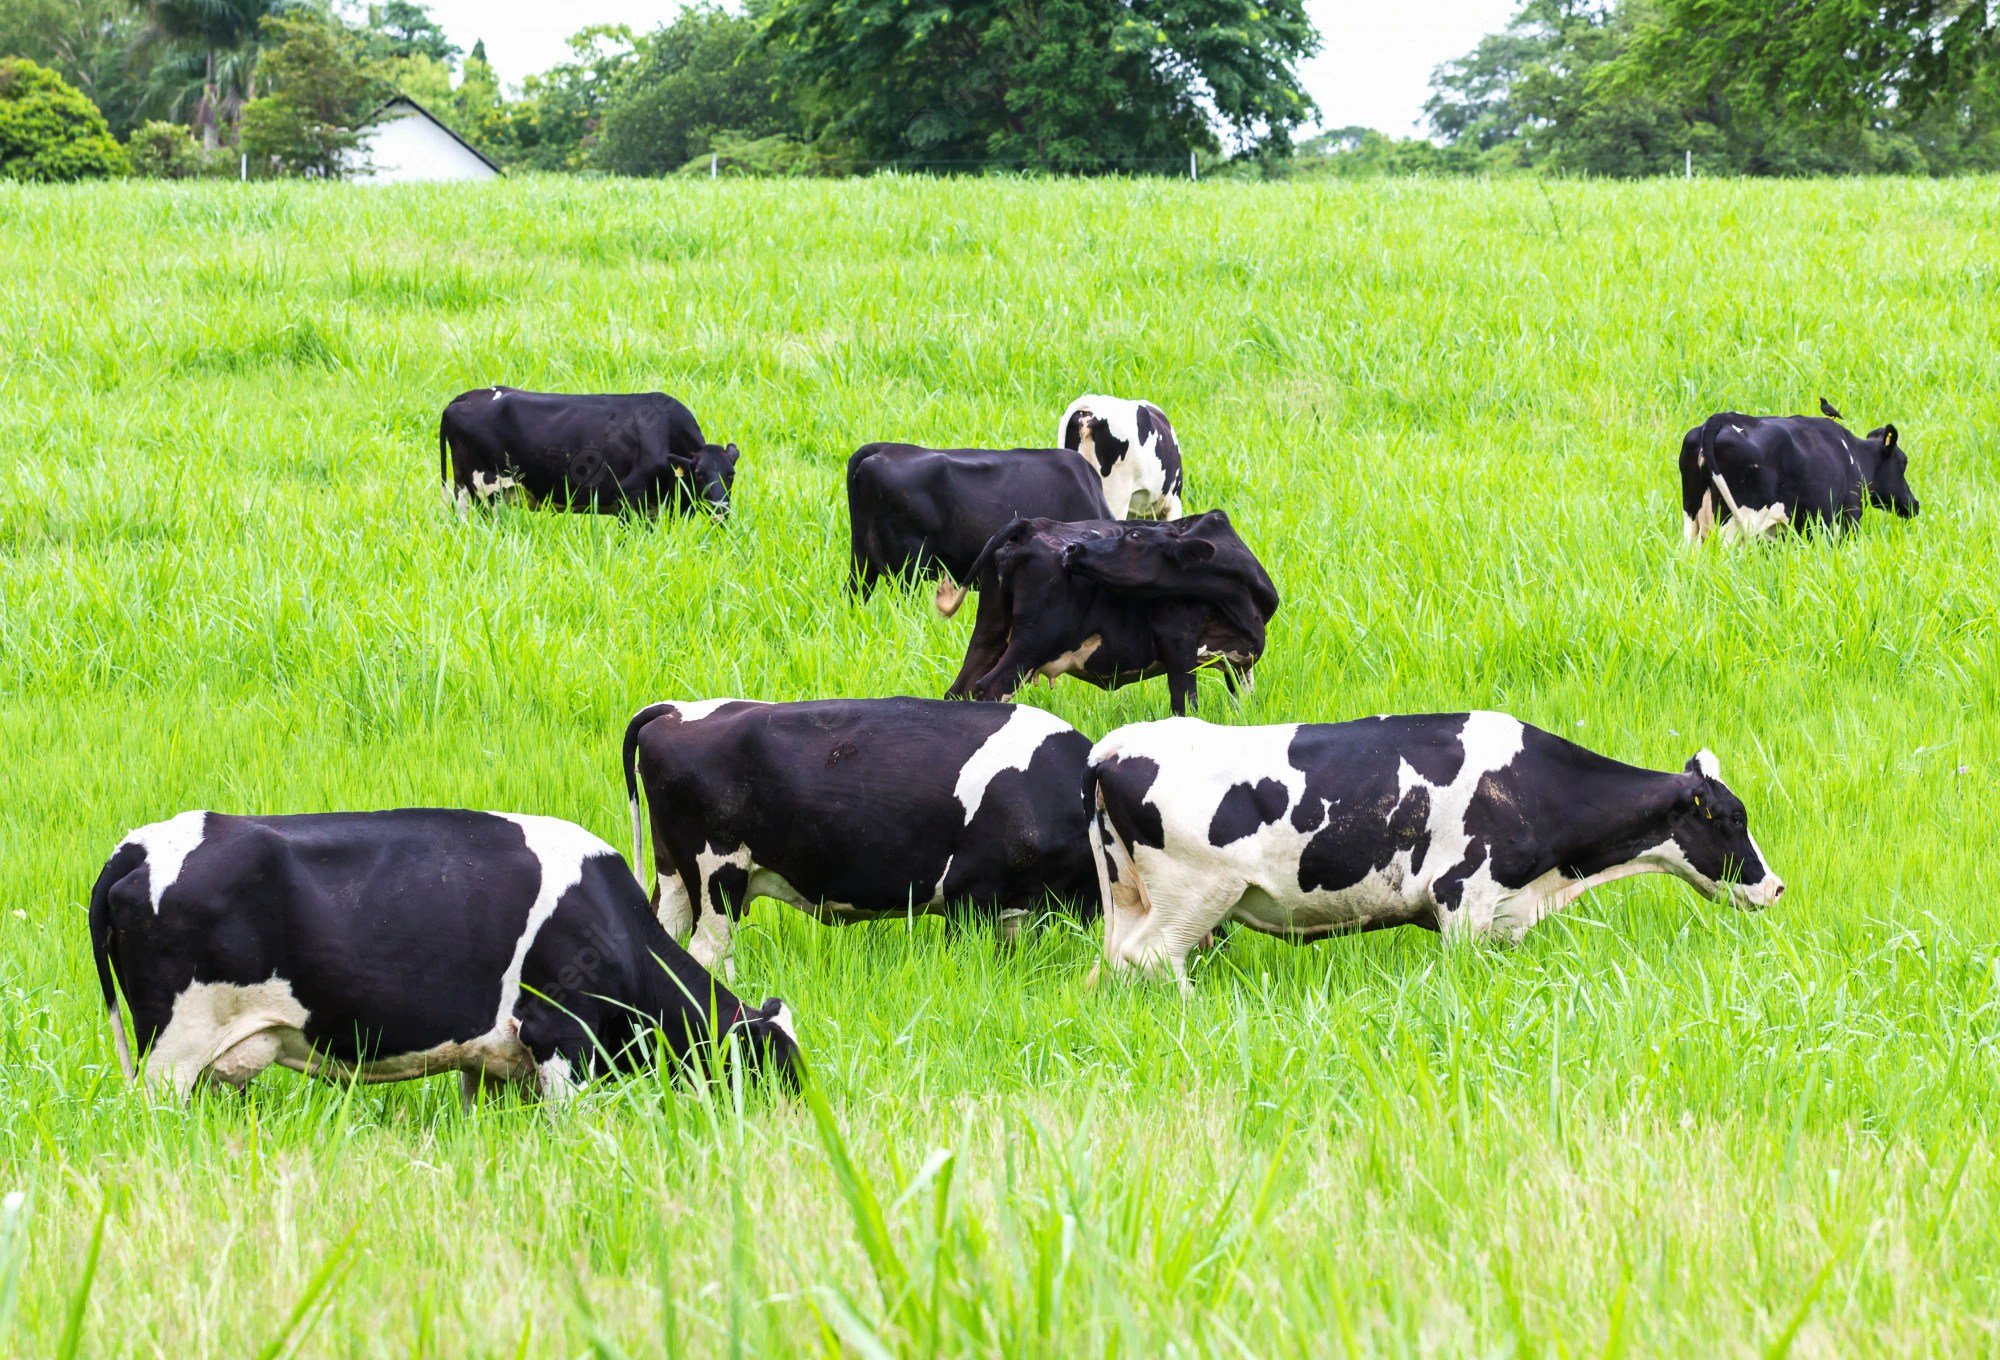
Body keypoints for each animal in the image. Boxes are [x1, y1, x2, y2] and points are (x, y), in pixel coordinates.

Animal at [440, 387, 740, 518]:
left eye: (731, 474)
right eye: (699, 474)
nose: (721, 509)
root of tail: (466, 397)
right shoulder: (629, 499)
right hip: (483, 491)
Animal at [622, 697, 1097, 973]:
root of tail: (675, 709)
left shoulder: (1020, 907)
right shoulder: (969, 894)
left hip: (675, 875)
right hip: (717, 876)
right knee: (708, 952)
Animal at [937, 511, 1279, 716]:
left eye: (1135, 537)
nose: (1073, 549)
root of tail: (1031, 525)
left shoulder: (1238, 664)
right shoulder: (1178, 640)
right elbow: (1184, 704)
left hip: (990, 634)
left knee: (958, 691)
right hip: (1033, 641)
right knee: (988, 688)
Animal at [1086, 713, 1783, 990]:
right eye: (1733, 817)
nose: (1775, 886)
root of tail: (1112, 746)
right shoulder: (1462, 901)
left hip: (1132, 894)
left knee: (1117, 962)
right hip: (1194, 895)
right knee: (1154, 958)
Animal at [1680, 398, 1920, 544]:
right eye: (1903, 462)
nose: (1915, 504)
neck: (1855, 454)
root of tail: (1721, 419)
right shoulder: (1848, 517)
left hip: (1692, 519)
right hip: (1736, 522)